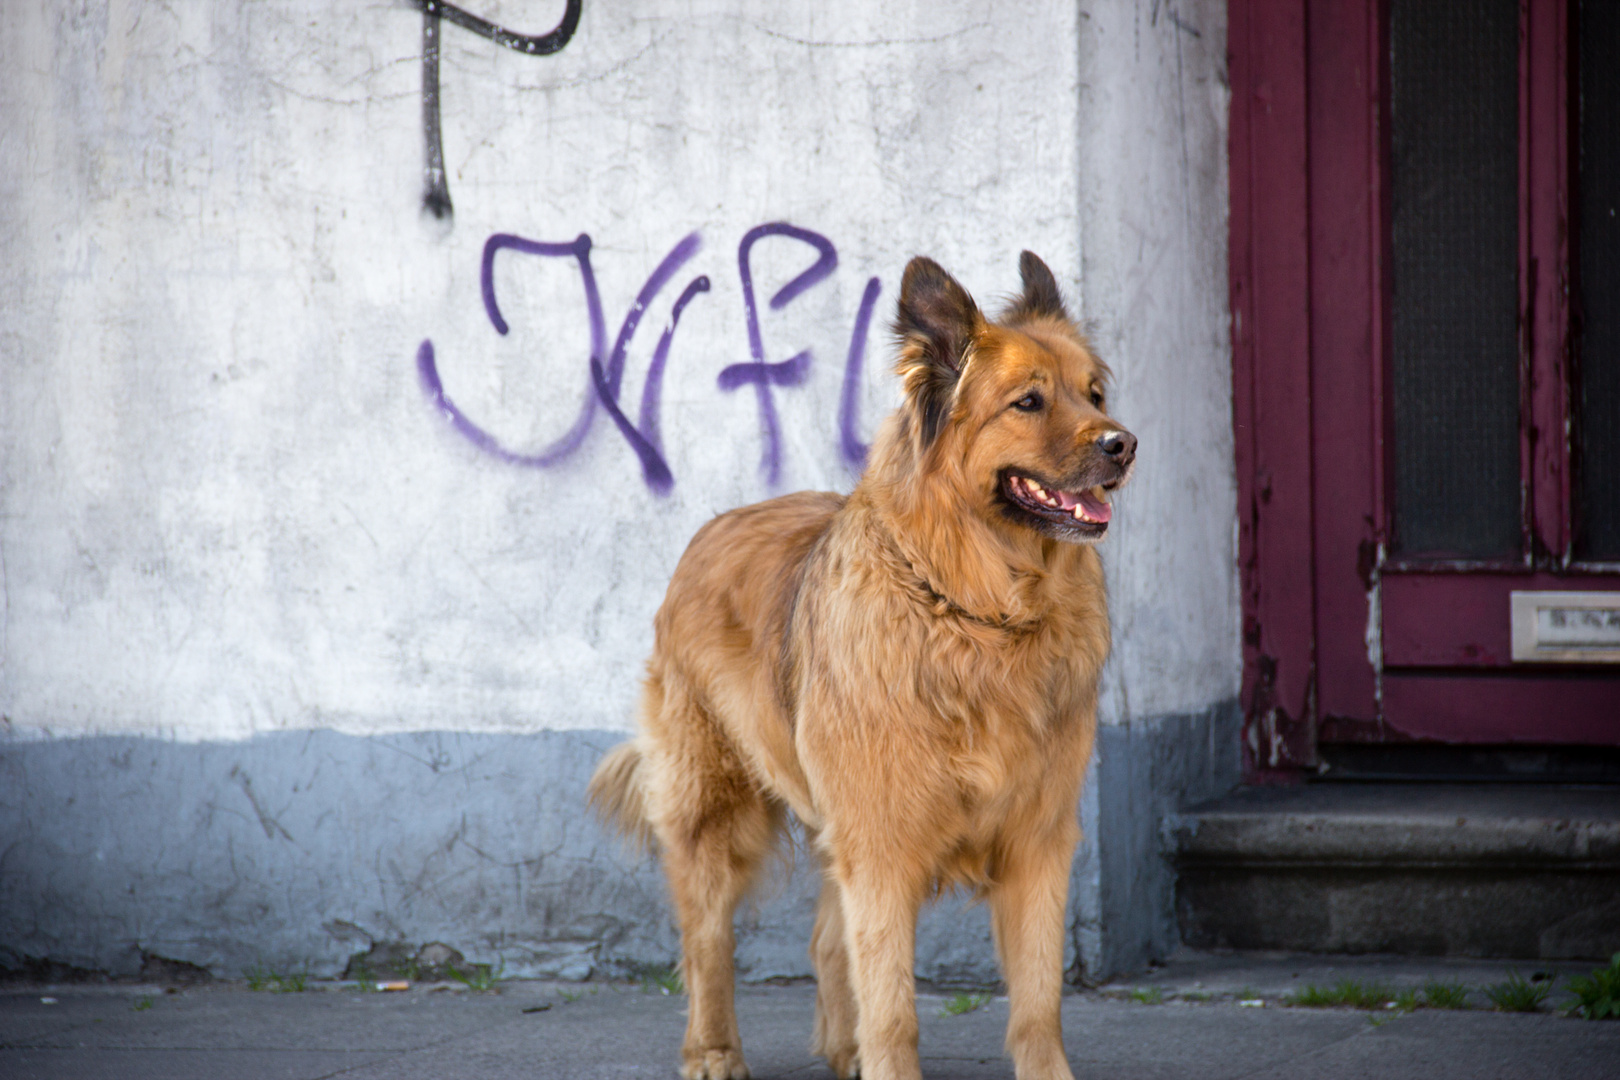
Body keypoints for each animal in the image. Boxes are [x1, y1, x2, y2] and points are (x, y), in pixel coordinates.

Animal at [589, 250, 1134, 1080]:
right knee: (706, 942)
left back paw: (840, 1050)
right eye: (1029, 402)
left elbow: (1038, 1006)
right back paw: (712, 1050)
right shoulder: (881, 847)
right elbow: (894, 1011)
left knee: (823, 940)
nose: (1123, 445)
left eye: (1094, 394)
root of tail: (715, 524)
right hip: (716, 814)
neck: (976, 611)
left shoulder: (1037, 842)